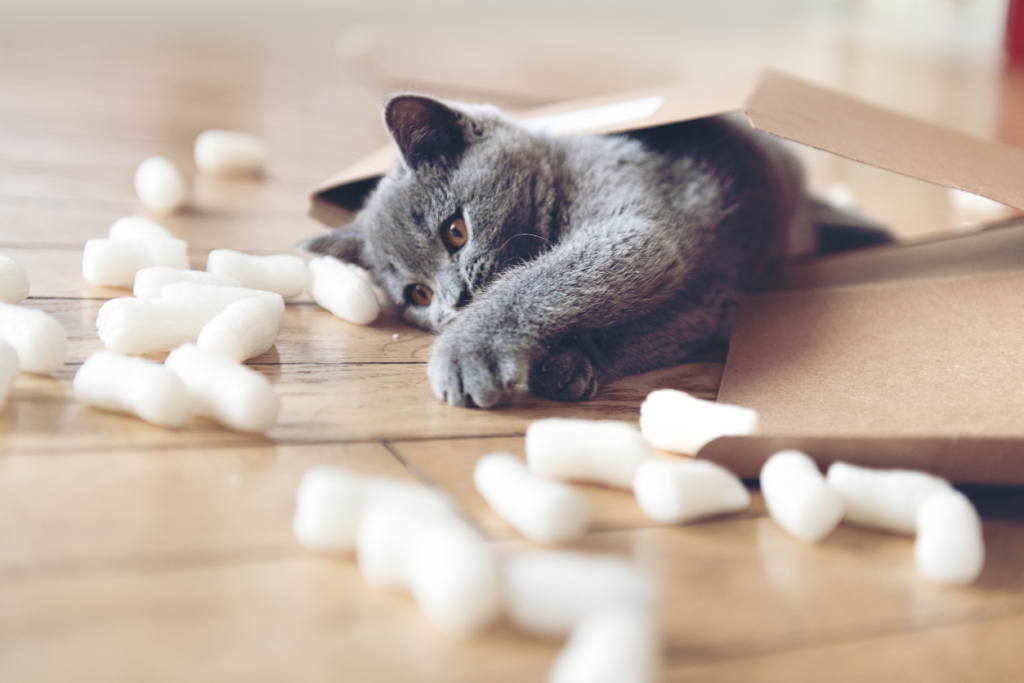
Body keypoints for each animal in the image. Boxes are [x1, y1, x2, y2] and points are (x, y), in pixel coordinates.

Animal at [301, 94, 880, 409]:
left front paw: (470, 354)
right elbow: (662, 326)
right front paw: (569, 364)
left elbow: (539, 281)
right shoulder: (705, 301)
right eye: (417, 295)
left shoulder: (635, 232)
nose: (452, 304)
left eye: (455, 232)